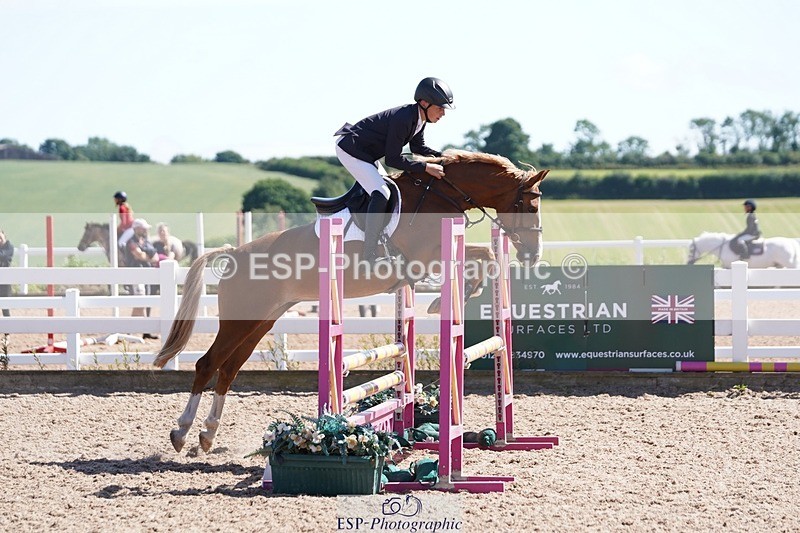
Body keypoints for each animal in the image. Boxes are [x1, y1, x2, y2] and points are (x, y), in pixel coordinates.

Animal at [152, 149, 549, 453]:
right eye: (530, 206)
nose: (532, 255)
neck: (441, 195)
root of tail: (235, 253)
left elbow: (486, 256)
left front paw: (456, 297)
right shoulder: (427, 257)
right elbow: (483, 256)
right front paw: (444, 302)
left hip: (261, 321)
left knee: (228, 370)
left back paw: (207, 435)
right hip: (241, 321)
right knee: (207, 365)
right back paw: (182, 432)